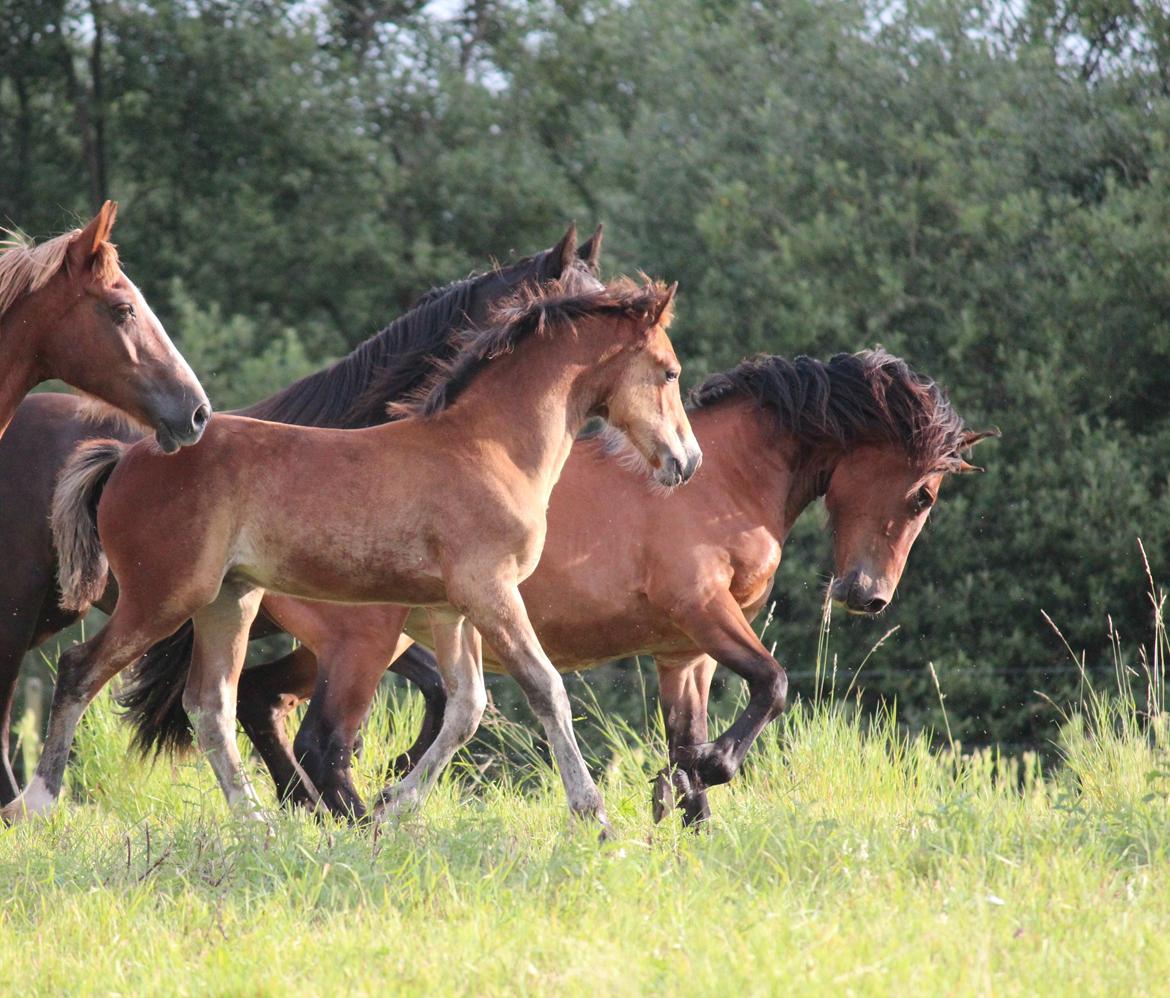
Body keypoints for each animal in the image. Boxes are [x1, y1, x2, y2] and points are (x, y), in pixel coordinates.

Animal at [9, 276, 697, 828]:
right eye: (669, 371)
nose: (686, 463)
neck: (489, 446)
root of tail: (127, 455)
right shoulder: (491, 593)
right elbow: (545, 688)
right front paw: (593, 815)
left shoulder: (451, 610)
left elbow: (466, 707)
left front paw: (394, 807)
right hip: (162, 597)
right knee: (80, 670)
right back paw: (35, 804)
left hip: (228, 602)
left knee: (211, 706)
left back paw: (257, 823)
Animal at [128, 346, 992, 823]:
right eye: (923, 494)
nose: (866, 596)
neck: (721, 480)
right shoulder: (705, 616)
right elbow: (773, 686)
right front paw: (707, 773)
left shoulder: (683, 654)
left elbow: (687, 737)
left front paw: (682, 812)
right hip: (363, 643)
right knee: (319, 736)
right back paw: (354, 815)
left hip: (348, 645)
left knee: (259, 699)